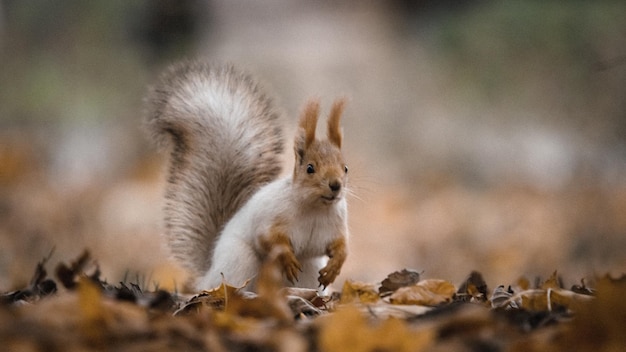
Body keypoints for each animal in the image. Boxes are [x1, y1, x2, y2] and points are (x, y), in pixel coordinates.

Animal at [146, 60, 348, 292]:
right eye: (310, 168)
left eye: (345, 168)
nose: (335, 185)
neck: (316, 208)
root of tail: (209, 272)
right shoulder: (270, 217)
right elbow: (270, 240)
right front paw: (287, 259)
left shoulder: (336, 226)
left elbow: (341, 248)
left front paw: (334, 268)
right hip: (240, 260)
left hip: (309, 268)